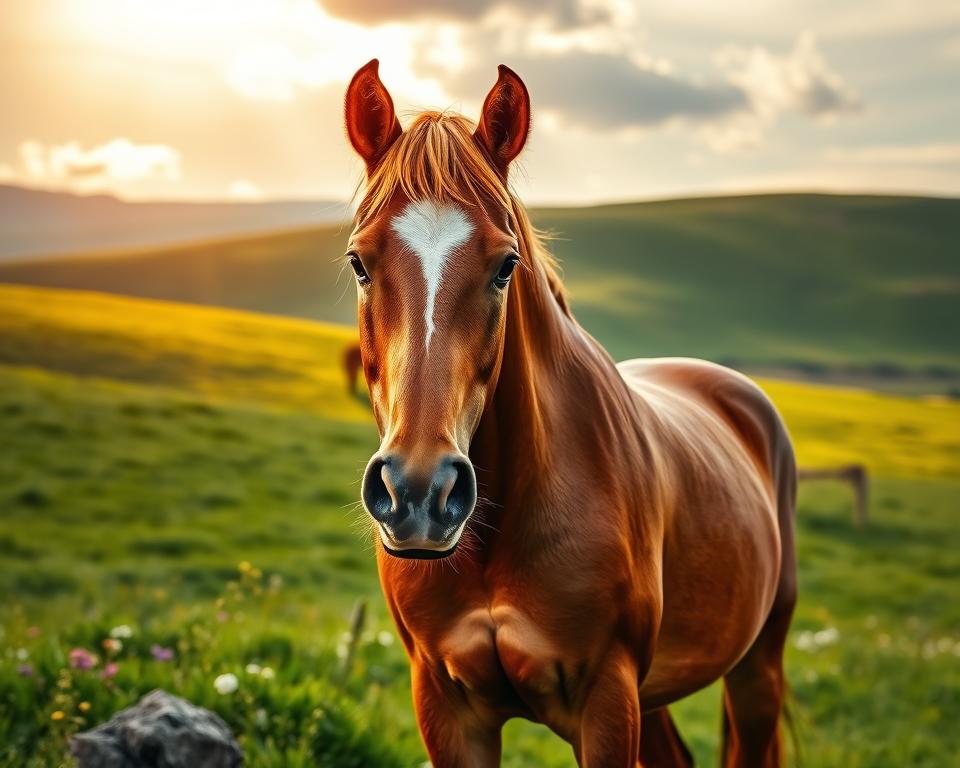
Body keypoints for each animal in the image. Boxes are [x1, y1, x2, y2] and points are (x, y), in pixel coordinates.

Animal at [342, 59, 797, 768]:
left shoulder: (606, 702)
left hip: (756, 669)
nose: (419, 492)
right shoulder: (446, 708)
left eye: (506, 265)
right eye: (360, 261)